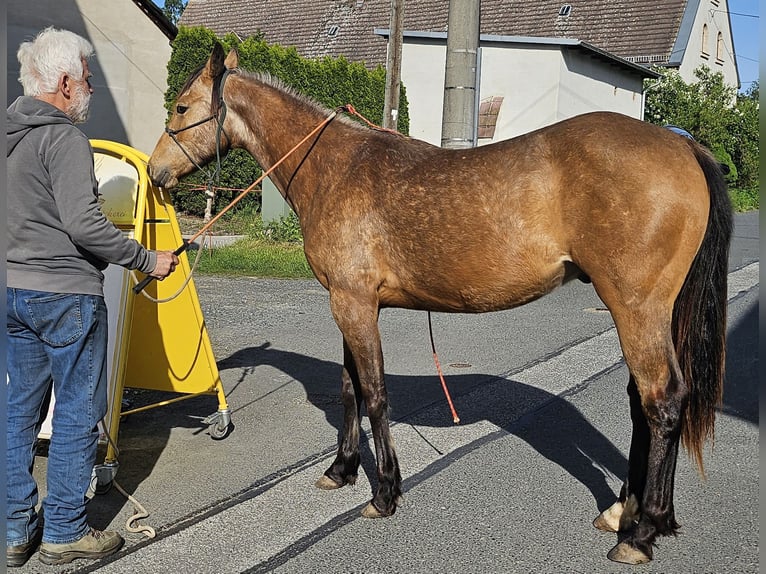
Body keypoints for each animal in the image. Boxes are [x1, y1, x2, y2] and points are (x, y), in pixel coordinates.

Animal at [147, 43, 732, 565]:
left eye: (181, 107)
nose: (155, 173)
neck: (334, 168)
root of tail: (683, 147)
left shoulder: (354, 304)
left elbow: (375, 396)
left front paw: (384, 493)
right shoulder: (350, 304)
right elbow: (349, 390)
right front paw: (341, 471)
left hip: (636, 308)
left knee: (663, 401)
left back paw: (641, 533)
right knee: (644, 402)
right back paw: (628, 514)